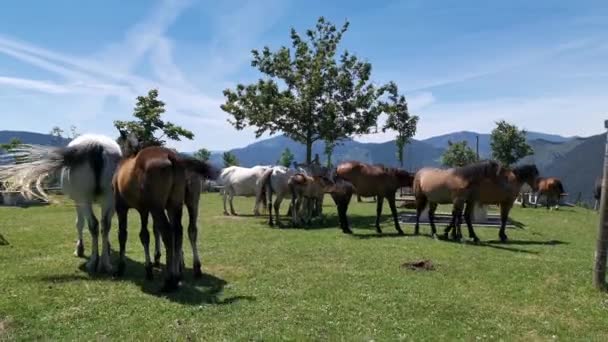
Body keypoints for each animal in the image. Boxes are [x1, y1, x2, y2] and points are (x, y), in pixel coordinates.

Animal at [0, 132, 122, 274]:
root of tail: (97, 146)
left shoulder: (77, 202)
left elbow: (79, 224)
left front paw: (80, 249)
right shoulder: (107, 203)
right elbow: (104, 226)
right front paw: (106, 248)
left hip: (83, 199)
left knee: (93, 225)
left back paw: (93, 262)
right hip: (108, 198)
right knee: (105, 225)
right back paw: (106, 264)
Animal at [114, 134, 218, 292]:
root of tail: (172, 157)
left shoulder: (122, 208)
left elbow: (123, 235)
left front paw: (122, 267)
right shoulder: (144, 209)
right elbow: (146, 234)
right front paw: (150, 267)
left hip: (158, 207)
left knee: (168, 233)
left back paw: (170, 281)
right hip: (184, 203)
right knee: (183, 231)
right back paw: (189, 270)